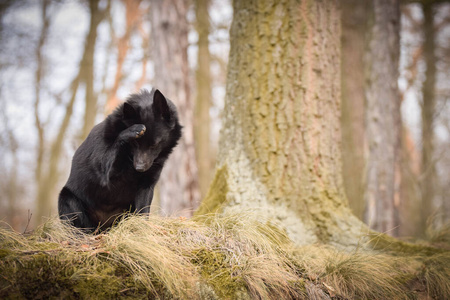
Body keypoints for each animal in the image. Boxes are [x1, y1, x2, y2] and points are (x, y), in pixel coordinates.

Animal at [58, 88, 181, 231]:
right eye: (135, 143)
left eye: (154, 144)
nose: (139, 168)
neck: (129, 156)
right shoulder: (107, 177)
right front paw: (132, 130)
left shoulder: (146, 185)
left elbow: (143, 210)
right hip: (67, 198)